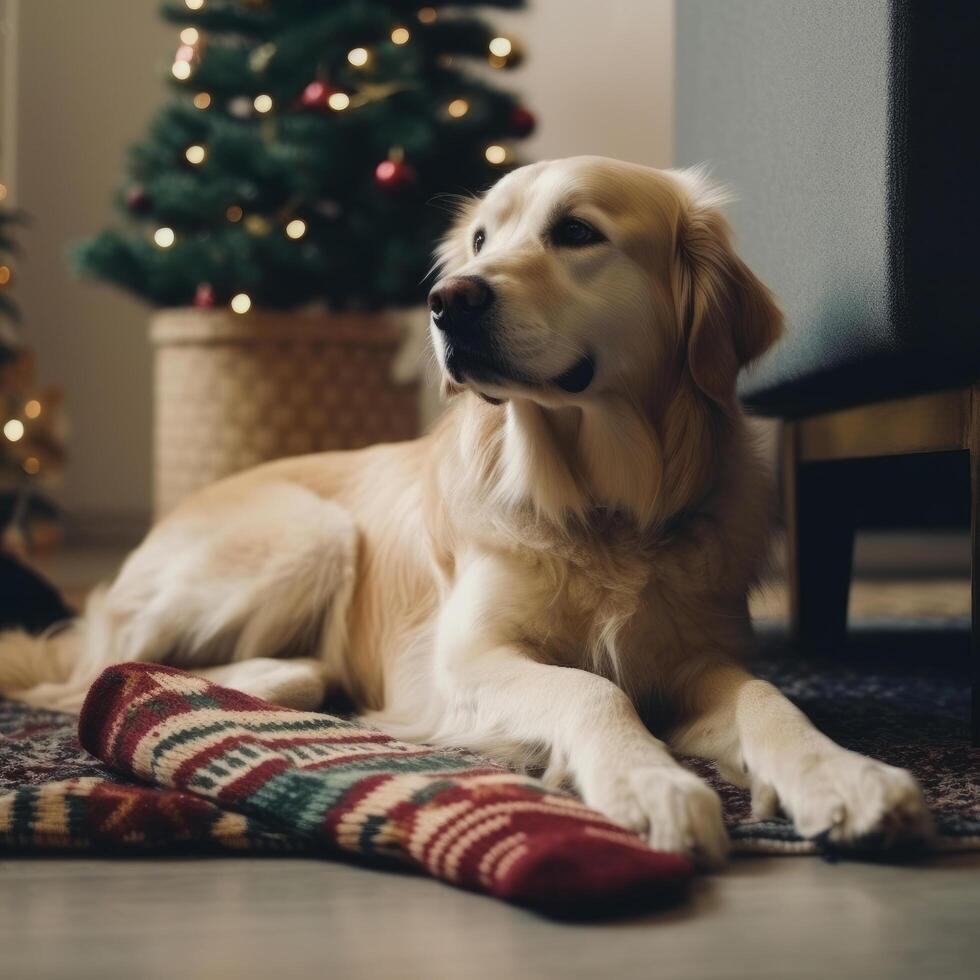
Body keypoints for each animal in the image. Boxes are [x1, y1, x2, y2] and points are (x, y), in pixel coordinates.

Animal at [0, 159, 932, 864]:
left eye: (577, 232)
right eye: (481, 238)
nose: (448, 299)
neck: (604, 507)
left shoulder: (697, 659)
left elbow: (770, 700)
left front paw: (844, 777)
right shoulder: (470, 657)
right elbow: (593, 689)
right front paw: (648, 781)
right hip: (314, 536)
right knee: (103, 672)